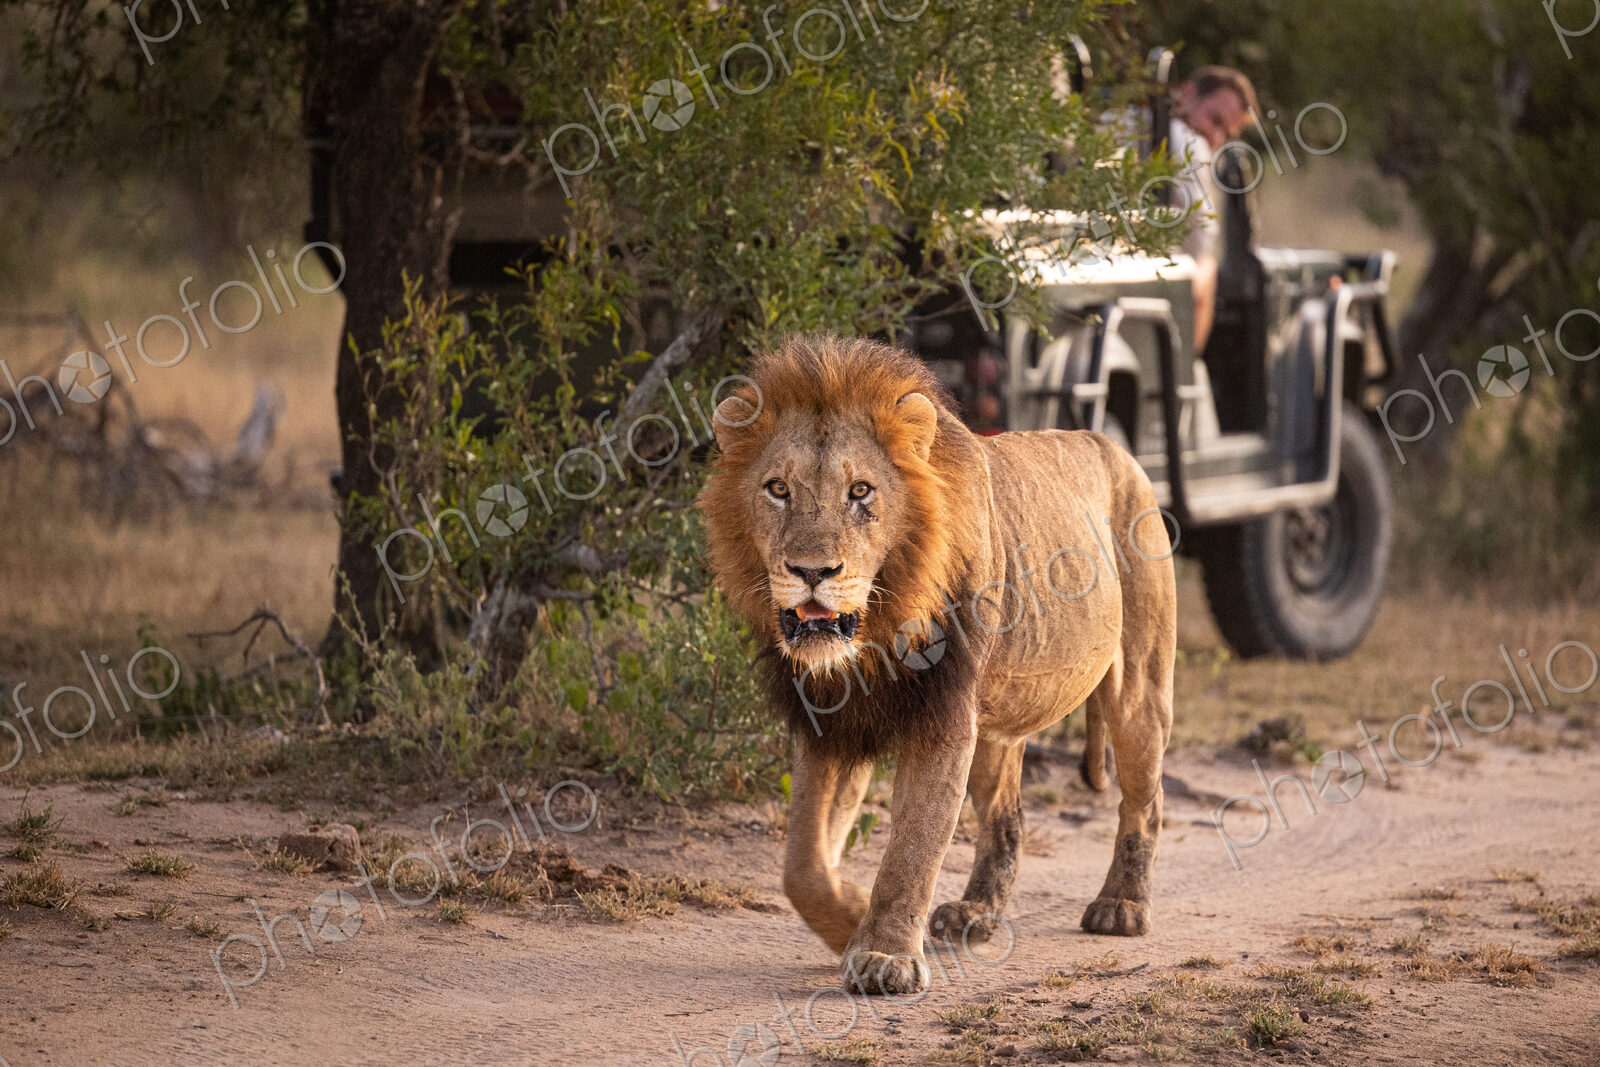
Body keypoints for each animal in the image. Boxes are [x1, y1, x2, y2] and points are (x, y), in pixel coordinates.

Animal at [698, 335, 1176, 996]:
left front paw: (886, 955)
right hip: (997, 722)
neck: (874, 631)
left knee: (1144, 800)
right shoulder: (833, 723)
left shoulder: (944, 718)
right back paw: (978, 911)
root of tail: (1112, 447)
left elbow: (914, 846)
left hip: (1139, 688)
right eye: (778, 489)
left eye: (860, 492)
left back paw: (1122, 906)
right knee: (1006, 817)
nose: (813, 572)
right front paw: (849, 918)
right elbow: (802, 864)